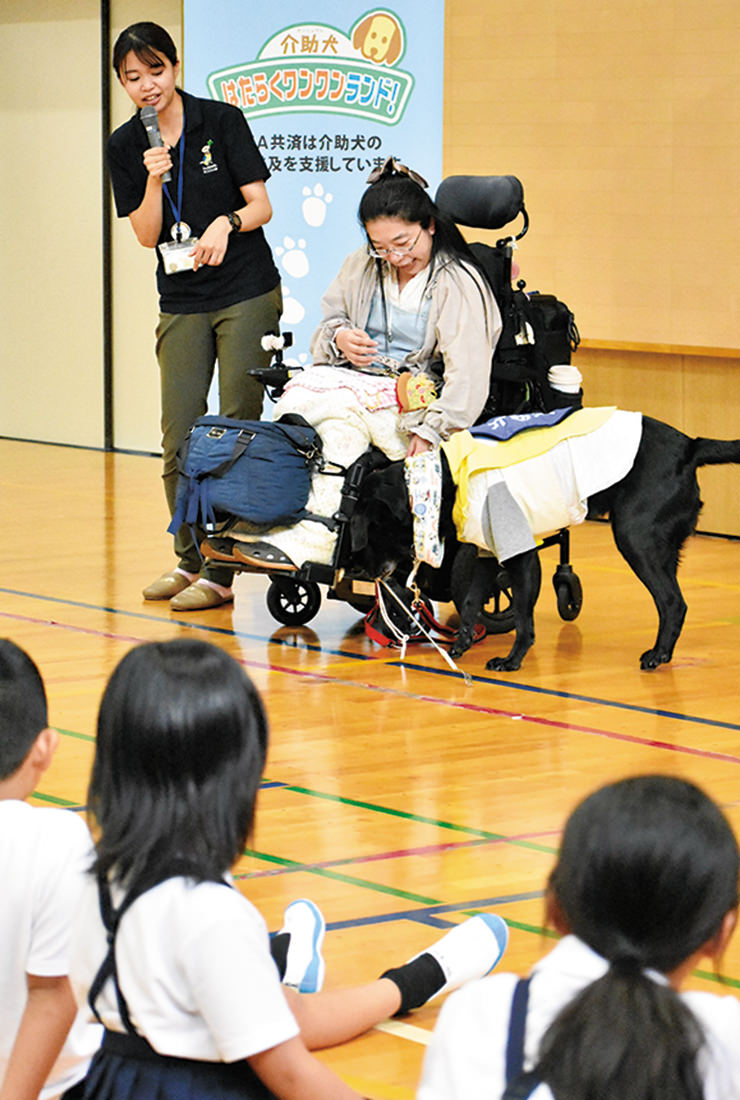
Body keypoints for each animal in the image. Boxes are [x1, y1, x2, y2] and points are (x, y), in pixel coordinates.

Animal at [349, 413, 738, 664]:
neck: (445, 478)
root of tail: (690, 446)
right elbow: (472, 601)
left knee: (672, 602)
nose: (362, 572)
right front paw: (461, 646)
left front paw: (512, 661)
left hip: (635, 536)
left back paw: (659, 654)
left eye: (365, 530)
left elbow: (523, 613)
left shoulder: (518, 554)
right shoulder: (487, 552)